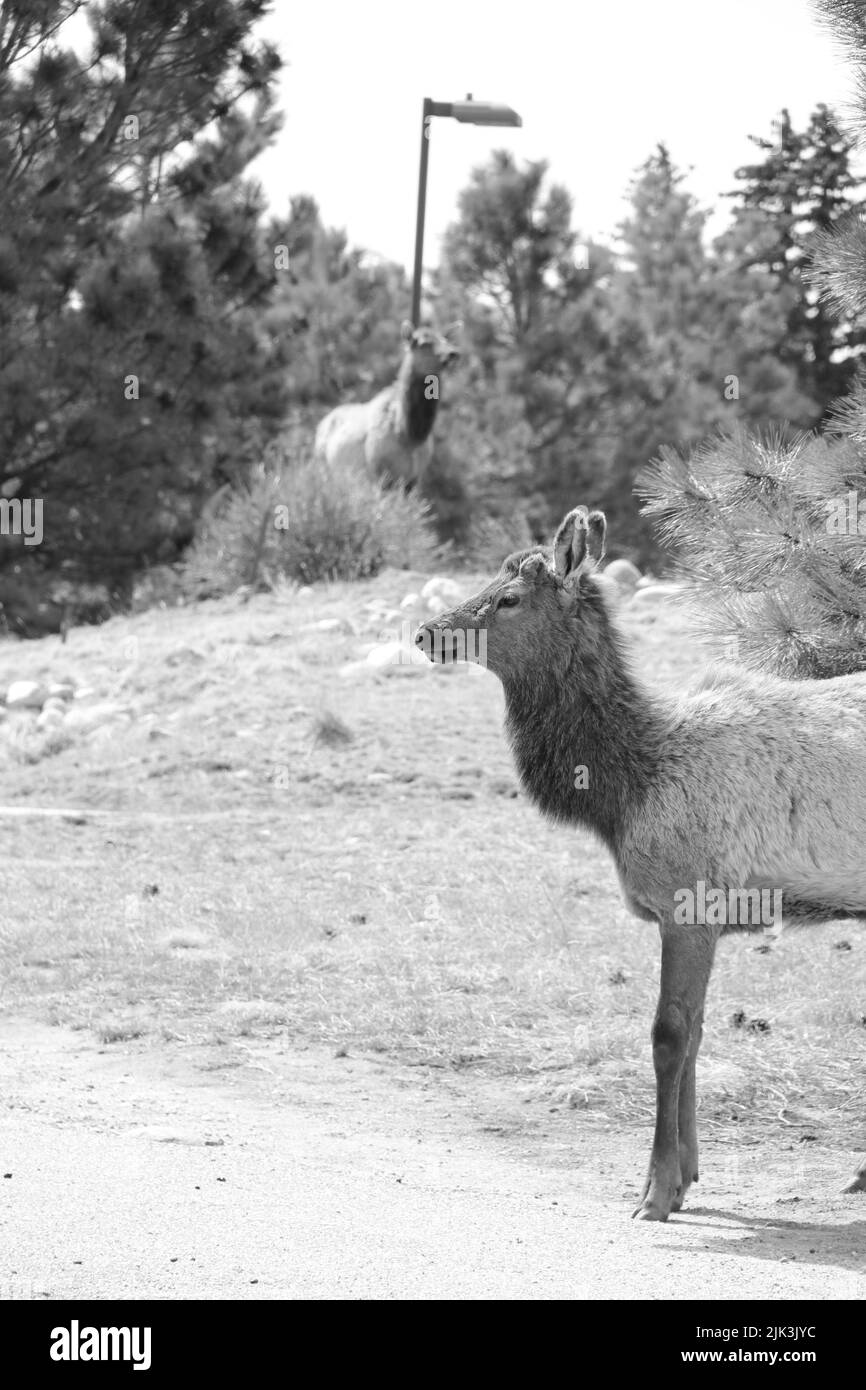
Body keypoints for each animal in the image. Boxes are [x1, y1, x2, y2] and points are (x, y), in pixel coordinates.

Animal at [417, 508, 861, 1217]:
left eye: (509, 598)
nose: (426, 634)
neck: (625, 788)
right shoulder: (699, 916)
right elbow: (700, 1032)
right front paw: (686, 1177)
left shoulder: (688, 899)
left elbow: (668, 1036)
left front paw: (653, 1189)